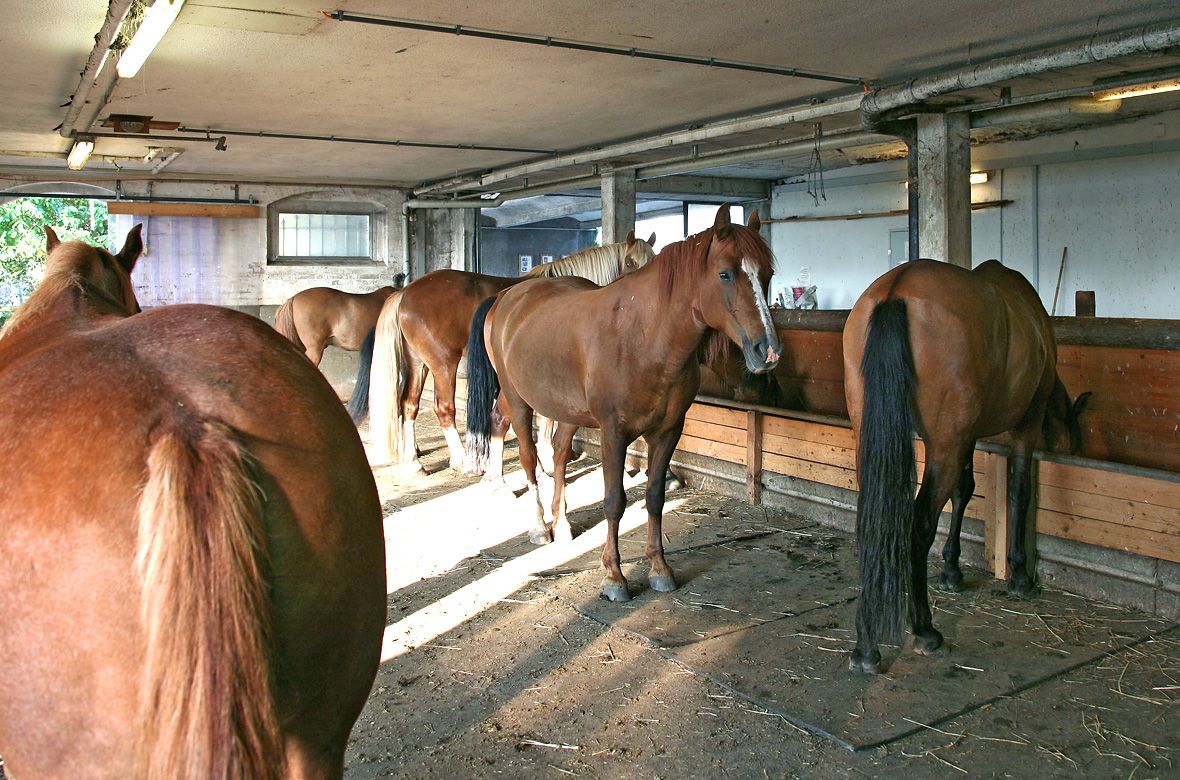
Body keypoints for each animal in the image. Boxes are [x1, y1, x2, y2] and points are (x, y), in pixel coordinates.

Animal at [362, 232, 656, 470]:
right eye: (629, 263)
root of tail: (405, 293)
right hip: (443, 365)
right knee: (444, 408)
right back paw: (461, 459)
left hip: (418, 364)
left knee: (408, 404)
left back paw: (413, 461)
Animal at [464, 205, 780, 601]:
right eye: (725, 273)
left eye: (767, 274)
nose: (768, 351)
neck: (643, 336)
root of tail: (507, 296)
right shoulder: (613, 433)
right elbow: (614, 501)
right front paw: (614, 576)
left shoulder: (668, 431)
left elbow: (655, 497)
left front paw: (660, 569)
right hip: (517, 399)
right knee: (527, 456)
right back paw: (539, 526)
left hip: (567, 410)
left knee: (558, 451)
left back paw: (562, 523)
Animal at [843, 258, 1089, 674]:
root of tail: (896, 290)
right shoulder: (1026, 423)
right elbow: (1019, 490)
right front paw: (1019, 575)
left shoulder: (968, 435)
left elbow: (964, 491)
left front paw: (952, 571)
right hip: (945, 445)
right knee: (918, 526)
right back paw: (925, 630)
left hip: (886, 440)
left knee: (876, 519)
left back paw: (866, 644)